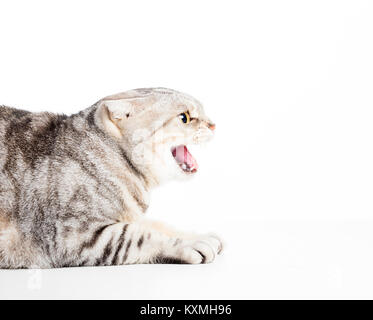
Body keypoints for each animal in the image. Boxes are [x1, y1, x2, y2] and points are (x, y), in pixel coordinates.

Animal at [0, 87, 222, 268]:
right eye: (184, 118)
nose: (214, 125)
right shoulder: (71, 235)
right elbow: (140, 235)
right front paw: (188, 243)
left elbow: (157, 224)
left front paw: (195, 234)